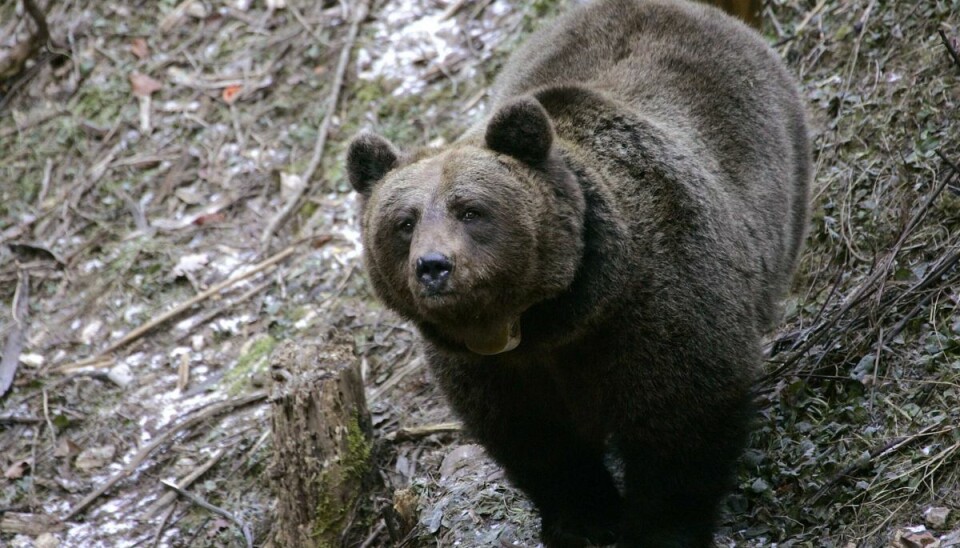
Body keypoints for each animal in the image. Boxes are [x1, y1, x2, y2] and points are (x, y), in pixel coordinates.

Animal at [348, 0, 808, 544]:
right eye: (404, 222)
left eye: (470, 210)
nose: (434, 266)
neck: (554, 318)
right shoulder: (490, 369)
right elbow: (539, 444)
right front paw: (584, 519)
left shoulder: (660, 303)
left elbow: (680, 421)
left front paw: (659, 527)